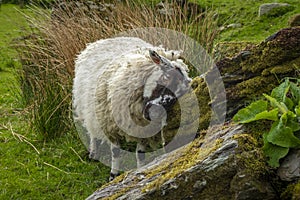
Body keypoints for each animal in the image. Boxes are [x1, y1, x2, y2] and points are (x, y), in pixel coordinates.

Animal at [72, 36, 192, 180]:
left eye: (179, 94)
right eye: (167, 77)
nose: (154, 113)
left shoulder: (144, 132)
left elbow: (140, 154)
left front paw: (141, 170)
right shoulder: (109, 125)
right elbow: (115, 151)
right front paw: (113, 175)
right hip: (88, 107)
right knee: (92, 131)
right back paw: (93, 152)